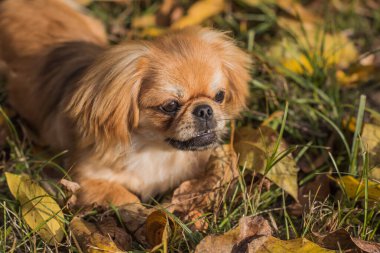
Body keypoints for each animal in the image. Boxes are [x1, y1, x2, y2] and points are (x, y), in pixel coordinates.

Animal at [0, 0, 252, 206]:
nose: (205, 110)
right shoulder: (85, 178)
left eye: (219, 96)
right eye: (170, 106)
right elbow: (126, 200)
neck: (155, 150)